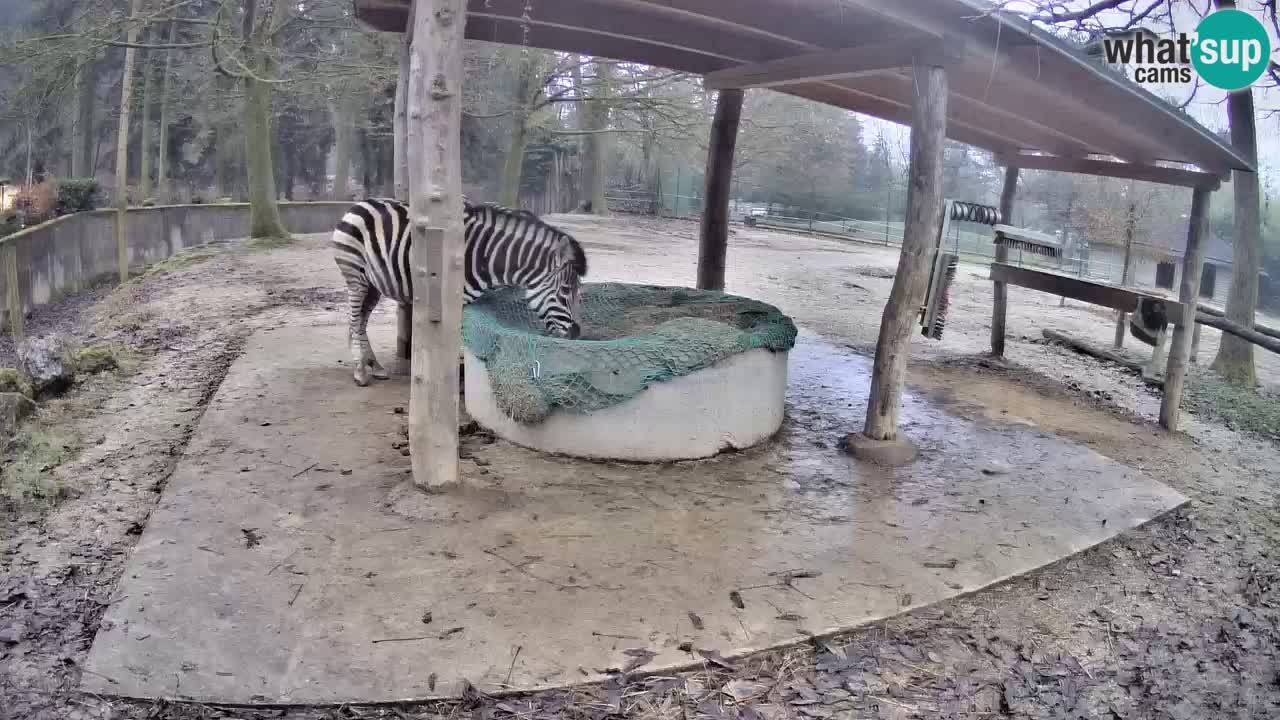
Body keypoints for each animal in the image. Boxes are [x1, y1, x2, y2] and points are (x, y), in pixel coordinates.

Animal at [331, 197, 589, 387]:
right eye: (565, 290)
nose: (577, 334)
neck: (487, 258)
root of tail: (359, 203)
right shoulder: (455, 302)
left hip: (373, 284)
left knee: (361, 321)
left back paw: (373, 365)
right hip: (356, 276)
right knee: (354, 320)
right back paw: (360, 371)